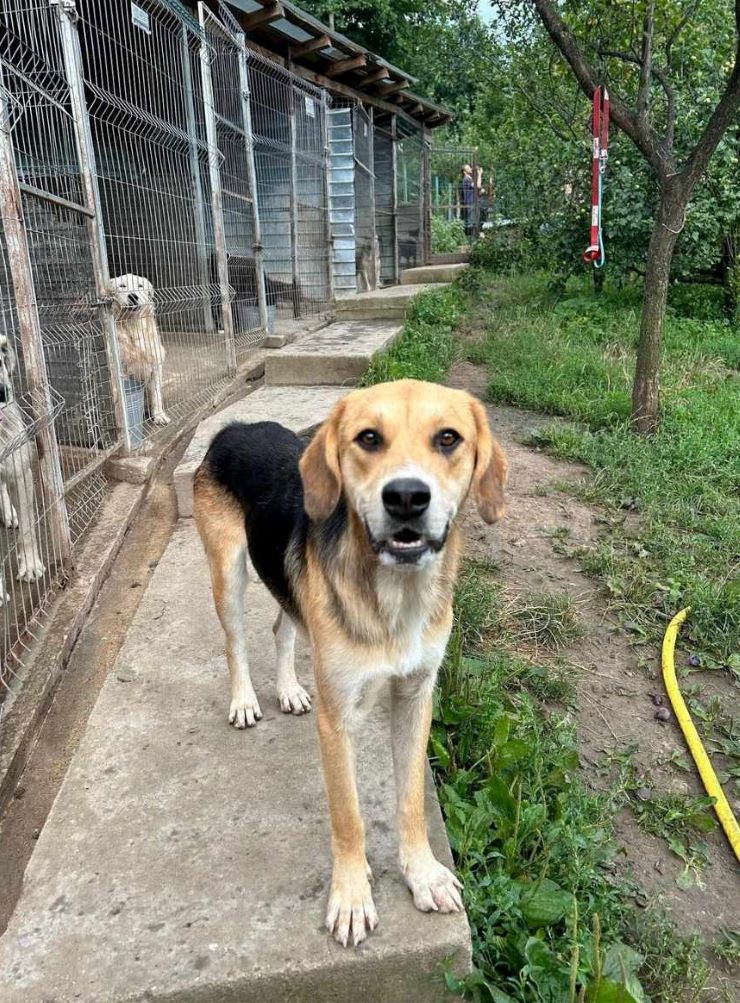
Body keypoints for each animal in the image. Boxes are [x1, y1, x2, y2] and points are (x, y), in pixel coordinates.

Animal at [193, 377, 507, 946]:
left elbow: (410, 801)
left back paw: (289, 688)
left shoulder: (416, 696)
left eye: (448, 438)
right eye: (368, 438)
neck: (396, 598)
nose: (406, 497)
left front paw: (422, 873)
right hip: (227, 570)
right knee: (236, 642)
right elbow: (348, 816)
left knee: (281, 628)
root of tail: (235, 427)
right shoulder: (337, 719)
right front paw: (352, 896)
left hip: (292, 583)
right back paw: (245, 700)